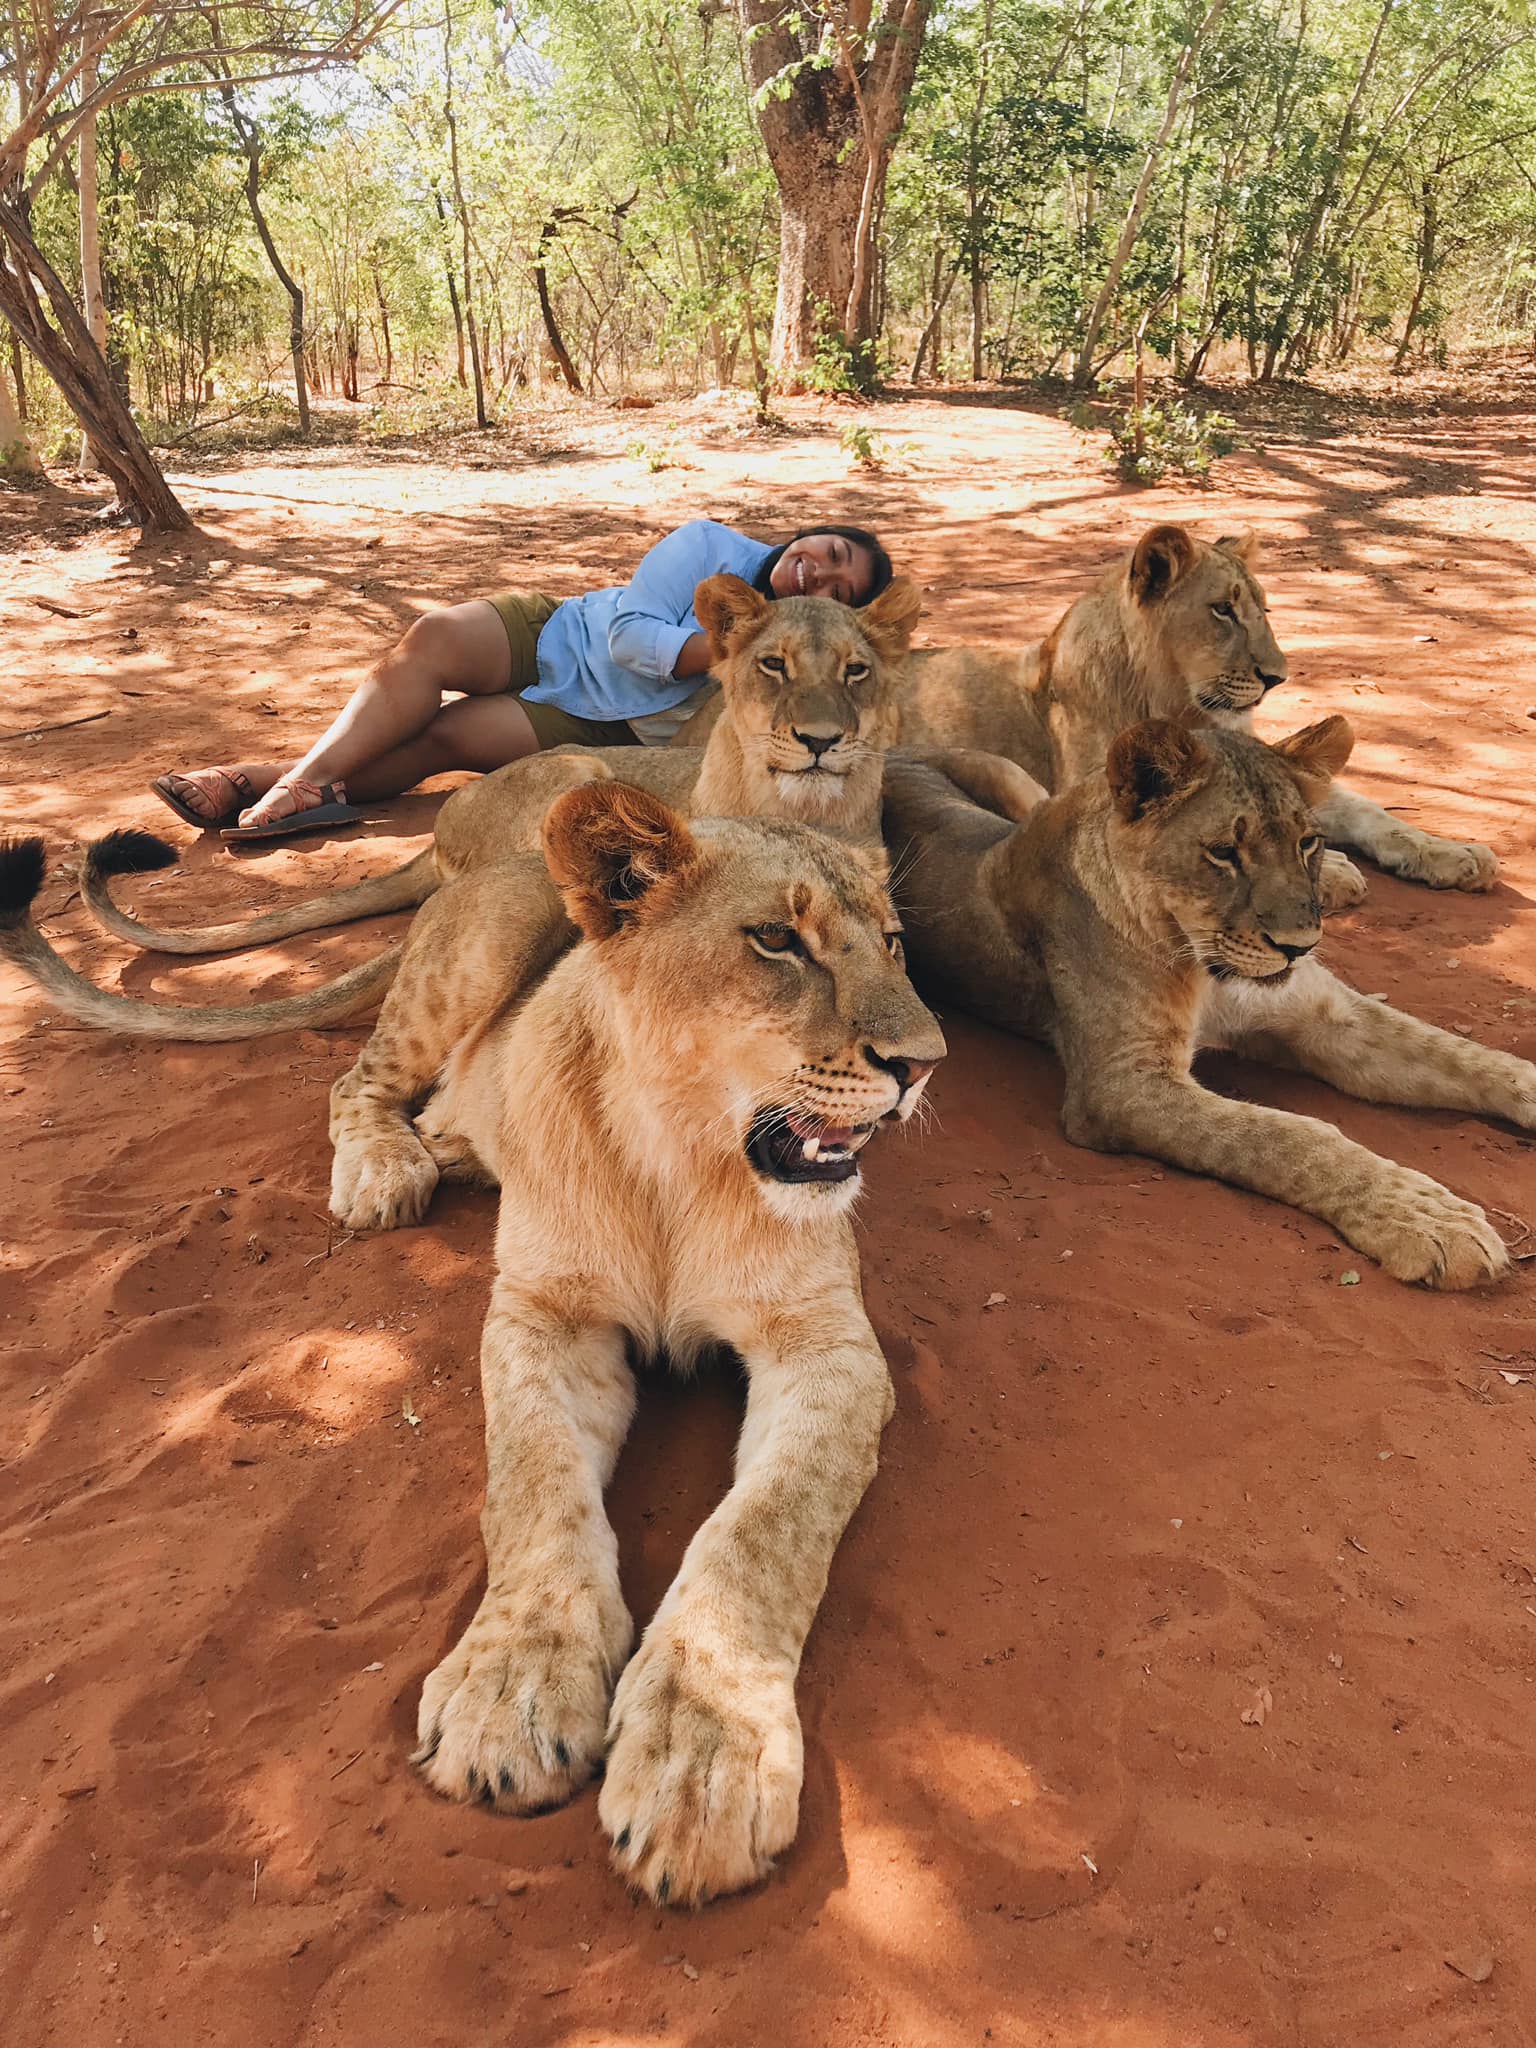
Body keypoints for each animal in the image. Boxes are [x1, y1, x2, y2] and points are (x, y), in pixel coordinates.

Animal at [342, 778, 946, 1900]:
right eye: (777, 940)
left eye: (893, 942)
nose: (925, 1066)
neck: (683, 1156)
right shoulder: (546, 1314)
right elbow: (533, 1484)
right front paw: (509, 1692)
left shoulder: (828, 1345)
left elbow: (766, 1530)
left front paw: (703, 1755)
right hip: (475, 957)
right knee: (360, 1080)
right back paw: (382, 1168)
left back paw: (447, 1144)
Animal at [884, 716, 1531, 1277]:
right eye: (1224, 853)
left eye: (1307, 842)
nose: (1300, 945)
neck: (1203, 961)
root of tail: (893, 749)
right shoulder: (1122, 1086)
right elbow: (1292, 1137)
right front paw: (1428, 1219)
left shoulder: (1330, 1017)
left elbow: (1463, 1054)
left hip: (1020, 784)